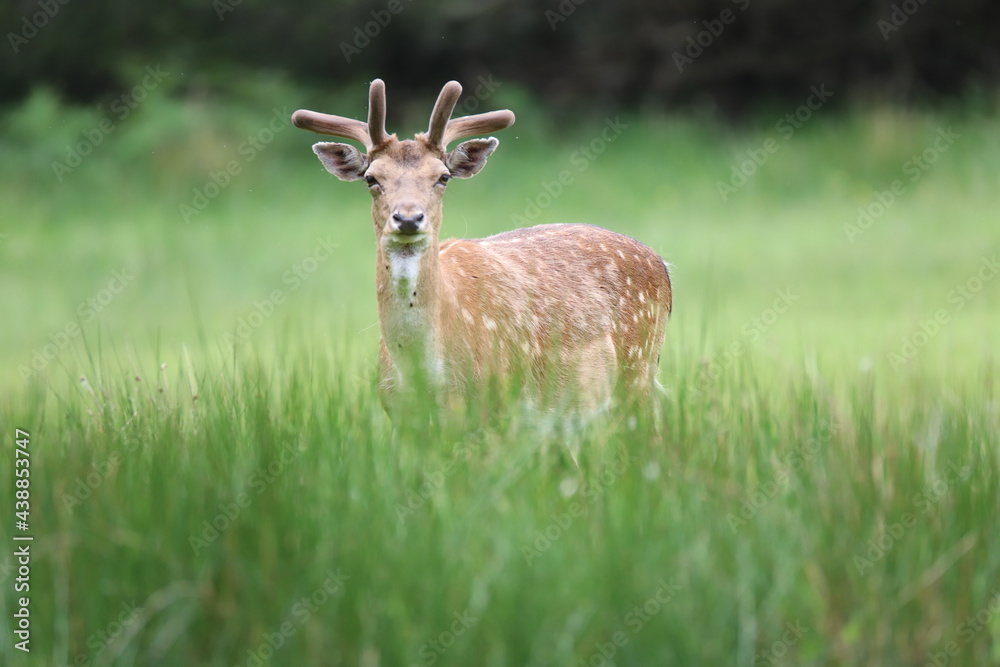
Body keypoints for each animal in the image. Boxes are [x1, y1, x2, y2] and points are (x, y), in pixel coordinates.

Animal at [291, 79, 671, 426]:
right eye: (371, 178)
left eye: (443, 177)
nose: (408, 218)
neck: (425, 372)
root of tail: (662, 263)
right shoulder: (400, 419)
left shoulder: (496, 409)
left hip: (638, 375)